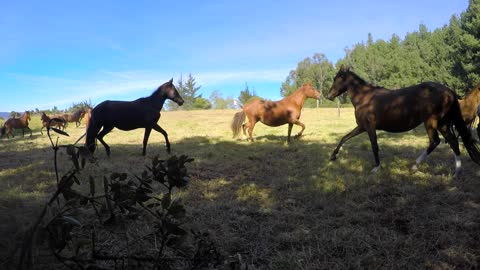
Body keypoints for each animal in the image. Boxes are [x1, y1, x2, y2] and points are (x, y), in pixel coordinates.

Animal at [326, 66, 480, 177]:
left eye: (337, 79)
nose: (329, 96)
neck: (365, 98)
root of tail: (449, 91)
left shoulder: (370, 127)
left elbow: (374, 146)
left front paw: (376, 167)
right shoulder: (361, 127)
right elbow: (344, 138)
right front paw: (333, 156)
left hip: (430, 122)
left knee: (435, 141)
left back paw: (415, 166)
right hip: (442, 124)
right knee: (453, 142)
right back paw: (456, 172)